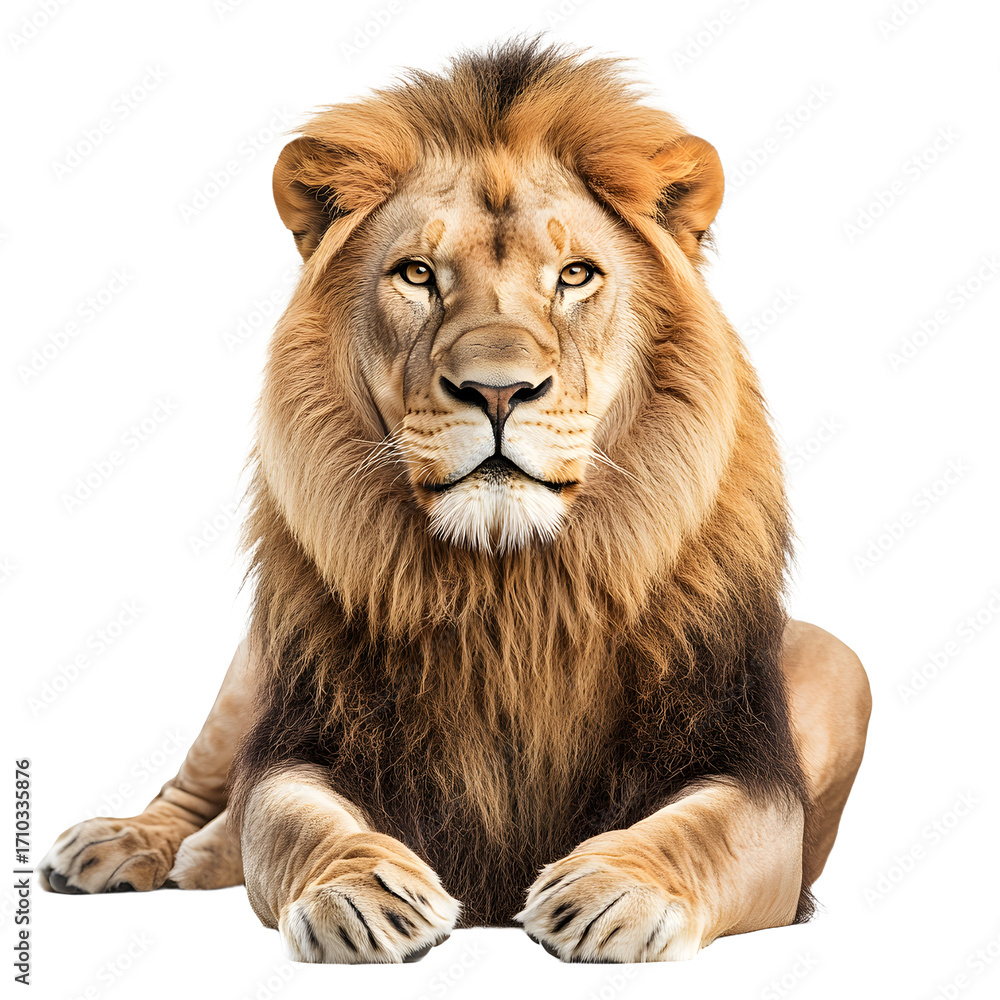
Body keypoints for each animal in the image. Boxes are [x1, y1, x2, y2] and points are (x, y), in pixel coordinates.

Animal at [40, 40, 871, 964]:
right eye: (417, 275)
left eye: (574, 275)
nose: (498, 390)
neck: (508, 590)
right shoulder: (308, 740)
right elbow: (292, 820)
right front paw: (363, 892)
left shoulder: (752, 773)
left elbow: (701, 831)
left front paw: (614, 891)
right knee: (205, 794)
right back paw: (125, 844)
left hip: (839, 661)